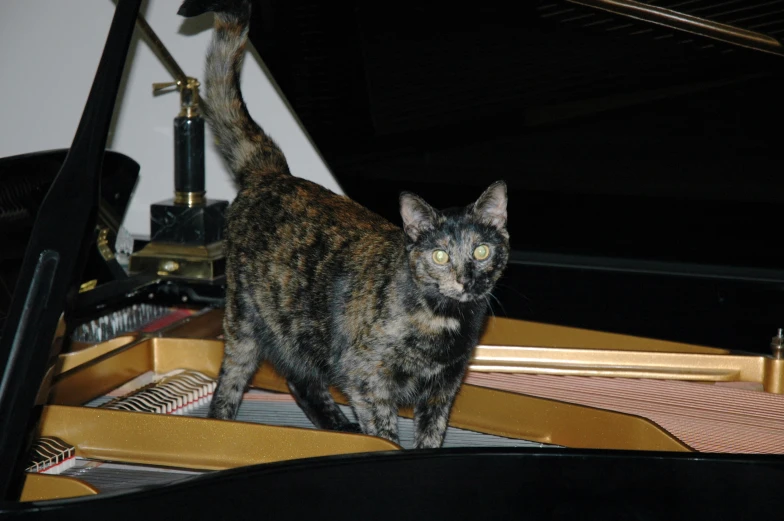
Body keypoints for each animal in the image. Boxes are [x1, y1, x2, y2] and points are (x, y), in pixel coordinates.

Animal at [176, 0, 508, 446]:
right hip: (244, 324)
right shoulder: (367, 380)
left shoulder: (443, 391)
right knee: (229, 383)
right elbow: (385, 434)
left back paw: (338, 430)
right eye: (439, 255)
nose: (464, 278)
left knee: (300, 380)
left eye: (482, 250)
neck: (442, 320)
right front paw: (380, 447)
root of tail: (272, 173)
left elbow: (431, 439)